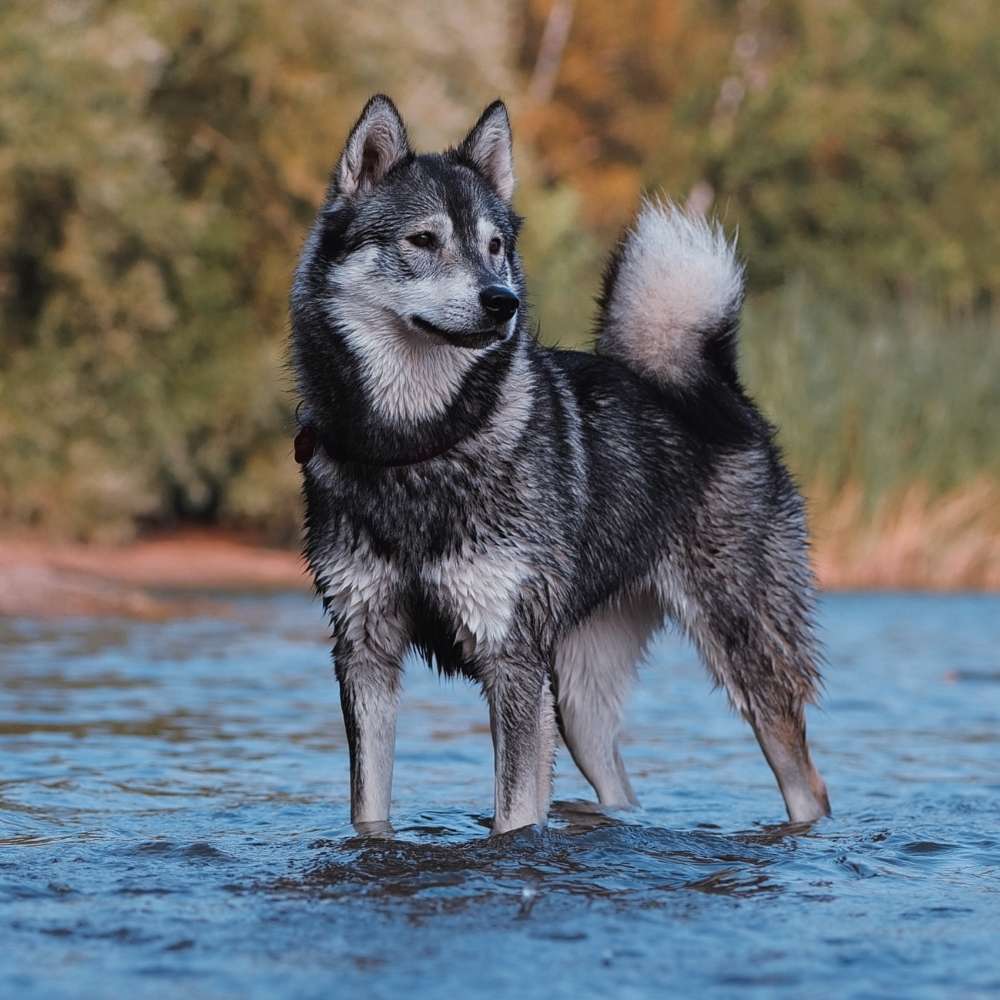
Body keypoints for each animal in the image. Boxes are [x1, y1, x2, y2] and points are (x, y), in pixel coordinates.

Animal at [292, 95, 832, 836]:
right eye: (424, 241)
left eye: (495, 246)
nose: (502, 301)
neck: (419, 444)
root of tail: (715, 384)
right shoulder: (365, 653)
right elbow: (370, 811)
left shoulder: (511, 660)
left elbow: (515, 816)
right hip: (575, 703)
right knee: (620, 788)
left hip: (747, 656)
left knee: (807, 783)